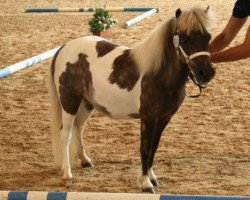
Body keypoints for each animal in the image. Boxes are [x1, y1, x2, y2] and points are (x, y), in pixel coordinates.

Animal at [48, 7, 215, 193]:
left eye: (208, 37)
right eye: (185, 39)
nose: (205, 73)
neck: (159, 73)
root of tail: (63, 48)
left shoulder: (163, 119)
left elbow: (154, 147)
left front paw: (152, 177)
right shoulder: (148, 117)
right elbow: (145, 149)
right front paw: (146, 183)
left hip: (86, 103)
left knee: (78, 128)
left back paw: (85, 160)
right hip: (69, 101)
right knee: (66, 134)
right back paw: (67, 175)